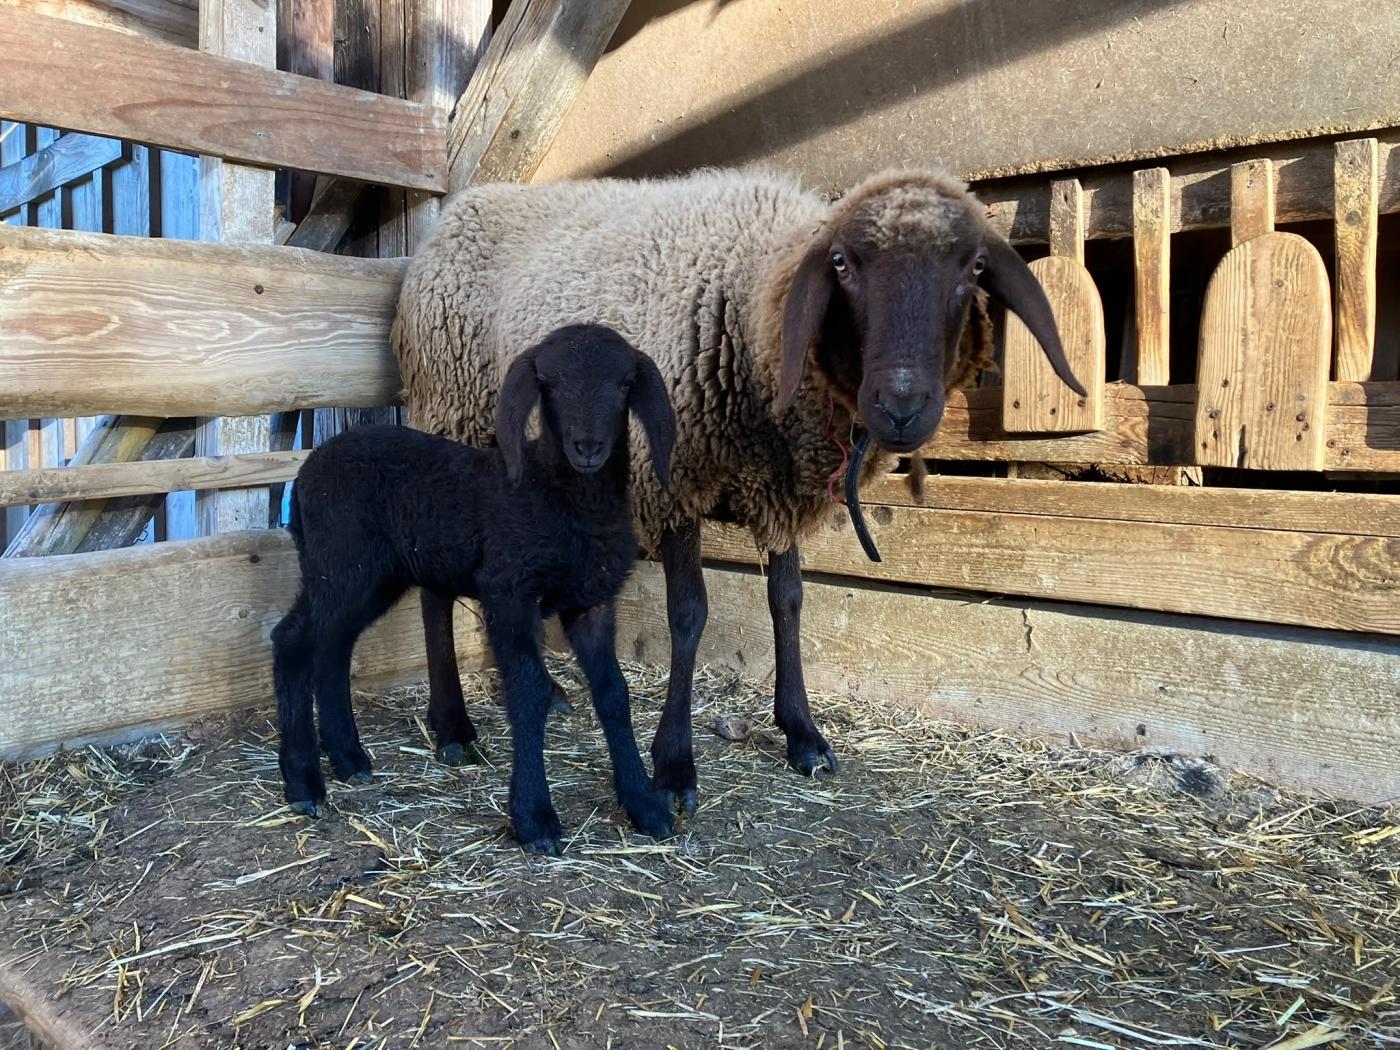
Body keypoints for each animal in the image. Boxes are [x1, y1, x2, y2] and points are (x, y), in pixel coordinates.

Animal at [273, 324, 679, 855]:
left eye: (625, 384)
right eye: (550, 385)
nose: (588, 446)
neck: (560, 497)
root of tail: (304, 474)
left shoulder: (592, 603)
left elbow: (613, 693)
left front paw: (645, 804)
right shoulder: (509, 590)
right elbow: (528, 690)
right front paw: (535, 818)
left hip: (369, 577)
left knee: (332, 646)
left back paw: (347, 757)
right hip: (340, 563)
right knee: (293, 640)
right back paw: (302, 780)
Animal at [392, 167, 1083, 817]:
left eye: (973, 268)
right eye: (842, 264)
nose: (902, 407)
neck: (750, 307)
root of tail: (461, 209)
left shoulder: (776, 491)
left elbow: (789, 602)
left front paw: (803, 734)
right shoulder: (674, 479)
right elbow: (689, 614)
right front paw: (674, 766)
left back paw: (548, 693)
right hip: (451, 415)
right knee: (434, 582)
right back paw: (452, 728)